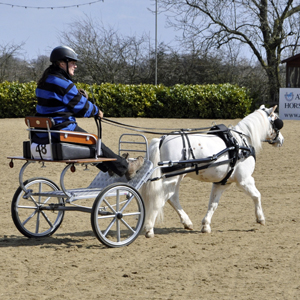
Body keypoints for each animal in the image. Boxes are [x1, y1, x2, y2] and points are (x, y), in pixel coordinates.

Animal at [141, 105, 284, 237]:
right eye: (277, 121)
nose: (281, 140)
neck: (240, 142)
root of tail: (162, 139)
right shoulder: (244, 180)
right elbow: (257, 195)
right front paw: (260, 218)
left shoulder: (222, 183)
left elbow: (213, 204)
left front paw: (206, 225)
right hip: (172, 178)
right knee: (161, 198)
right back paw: (149, 228)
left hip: (176, 178)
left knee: (172, 197)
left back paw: (187, 222)